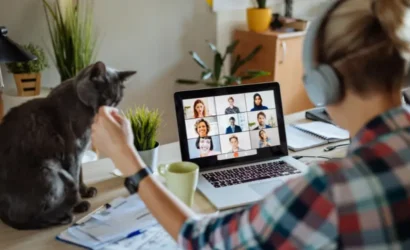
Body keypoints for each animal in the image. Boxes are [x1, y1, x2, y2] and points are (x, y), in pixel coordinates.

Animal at [0, 61, 138, 229]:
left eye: (117, 100)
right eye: (104, 97)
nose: (109, 108)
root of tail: (2, 212)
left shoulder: (81, 151)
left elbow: (80, 173)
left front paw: (86, 190)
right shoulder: (73, 151)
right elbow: (75, 174)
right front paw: (80, 203)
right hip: (50, 173)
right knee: (28, 217)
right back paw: (65, 215)